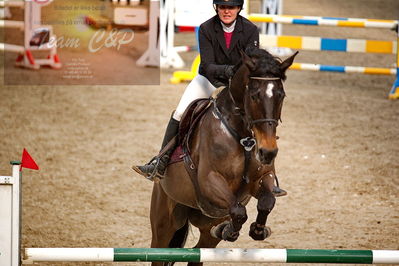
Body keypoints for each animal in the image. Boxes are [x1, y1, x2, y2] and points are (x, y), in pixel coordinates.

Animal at [148, 47, 298, 266]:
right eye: (254, 96)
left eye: (282, 95)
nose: (268, 152)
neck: (244, 137)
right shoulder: (210, 180)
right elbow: (238, 210)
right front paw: (230, 231)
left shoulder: (262, 178)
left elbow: (266, 202)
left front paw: (258, 230)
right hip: (164, 223)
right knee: (160, 251)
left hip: (206, 226)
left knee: (199, 251)